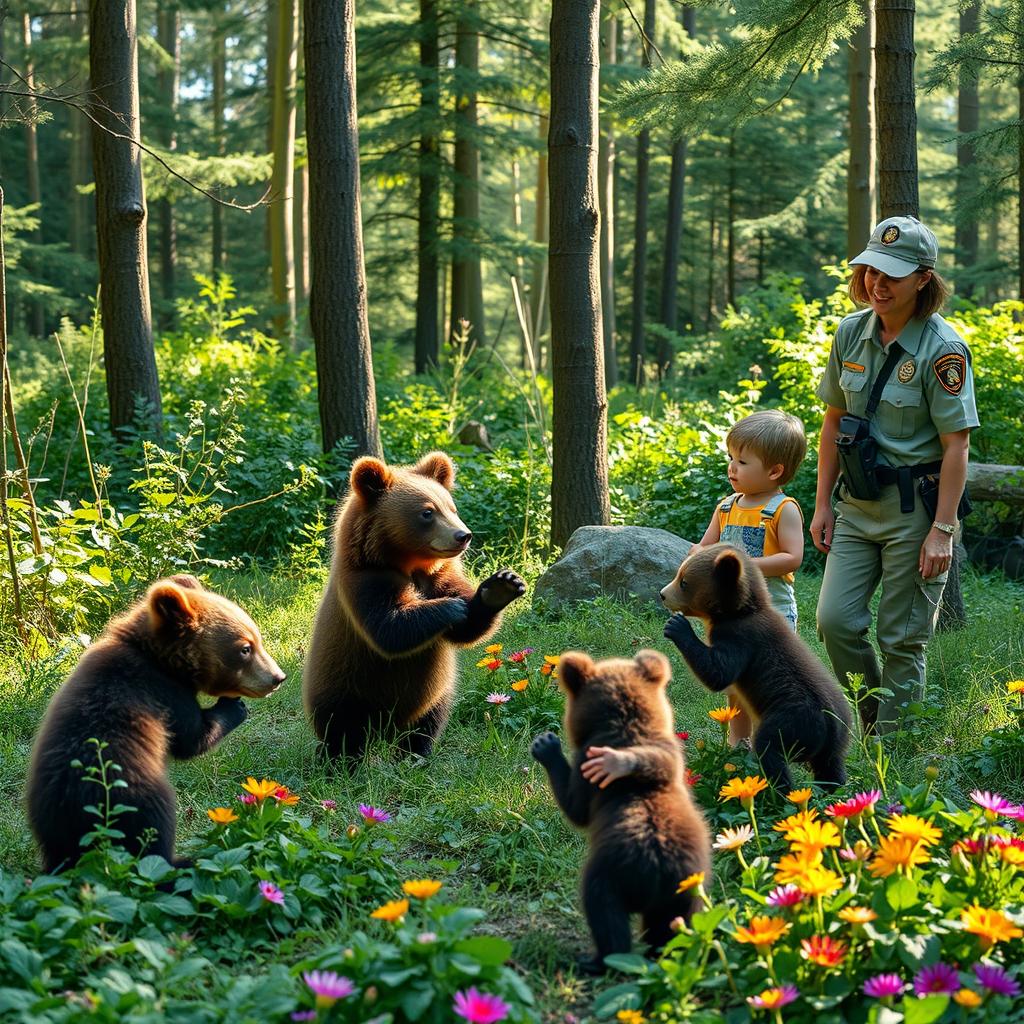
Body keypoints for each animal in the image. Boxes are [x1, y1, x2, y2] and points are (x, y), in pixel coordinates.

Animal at [27, 574, 285, 874]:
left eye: (257, 638)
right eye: (245, 648)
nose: (278, 677)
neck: (160, 661)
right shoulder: (165, 696)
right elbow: (192, 740)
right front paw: (233, 707)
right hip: (137, 795)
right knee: (150, 839)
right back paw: (182, 862)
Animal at [303, 451, 526, 760]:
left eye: (452, 507)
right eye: (427, 512)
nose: (463, 535)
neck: (409, 564)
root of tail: (384, 733)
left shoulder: (440, 575)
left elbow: (468, 630)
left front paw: (501, 586)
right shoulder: (365, 579)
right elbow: (388, 627)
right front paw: (453, 607)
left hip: (437, 694)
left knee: (427, 722)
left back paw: (415, 755)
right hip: (344, 684)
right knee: (343, 728)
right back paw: (341, 759)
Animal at [530, 649, 712, 975]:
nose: (545, 741)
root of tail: (657, 865)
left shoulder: (586, 770)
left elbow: (575, 808)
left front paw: (546, 747)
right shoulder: (671, 752)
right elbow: (660, 759)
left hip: (610, 875)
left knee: (604, 914)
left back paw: (596, 960)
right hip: (685, 892)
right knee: (670, 928)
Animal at [660, 542, 852, 791]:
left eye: (684, 581)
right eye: (679, 574)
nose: (662, 594)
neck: (740, 612)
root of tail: (831, 726)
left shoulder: (741, 638)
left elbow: (719, 672)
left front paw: (677, 626)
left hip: (791, 722)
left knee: (770, 751)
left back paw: (775, 791)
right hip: (836, 741)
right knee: (831, 768)